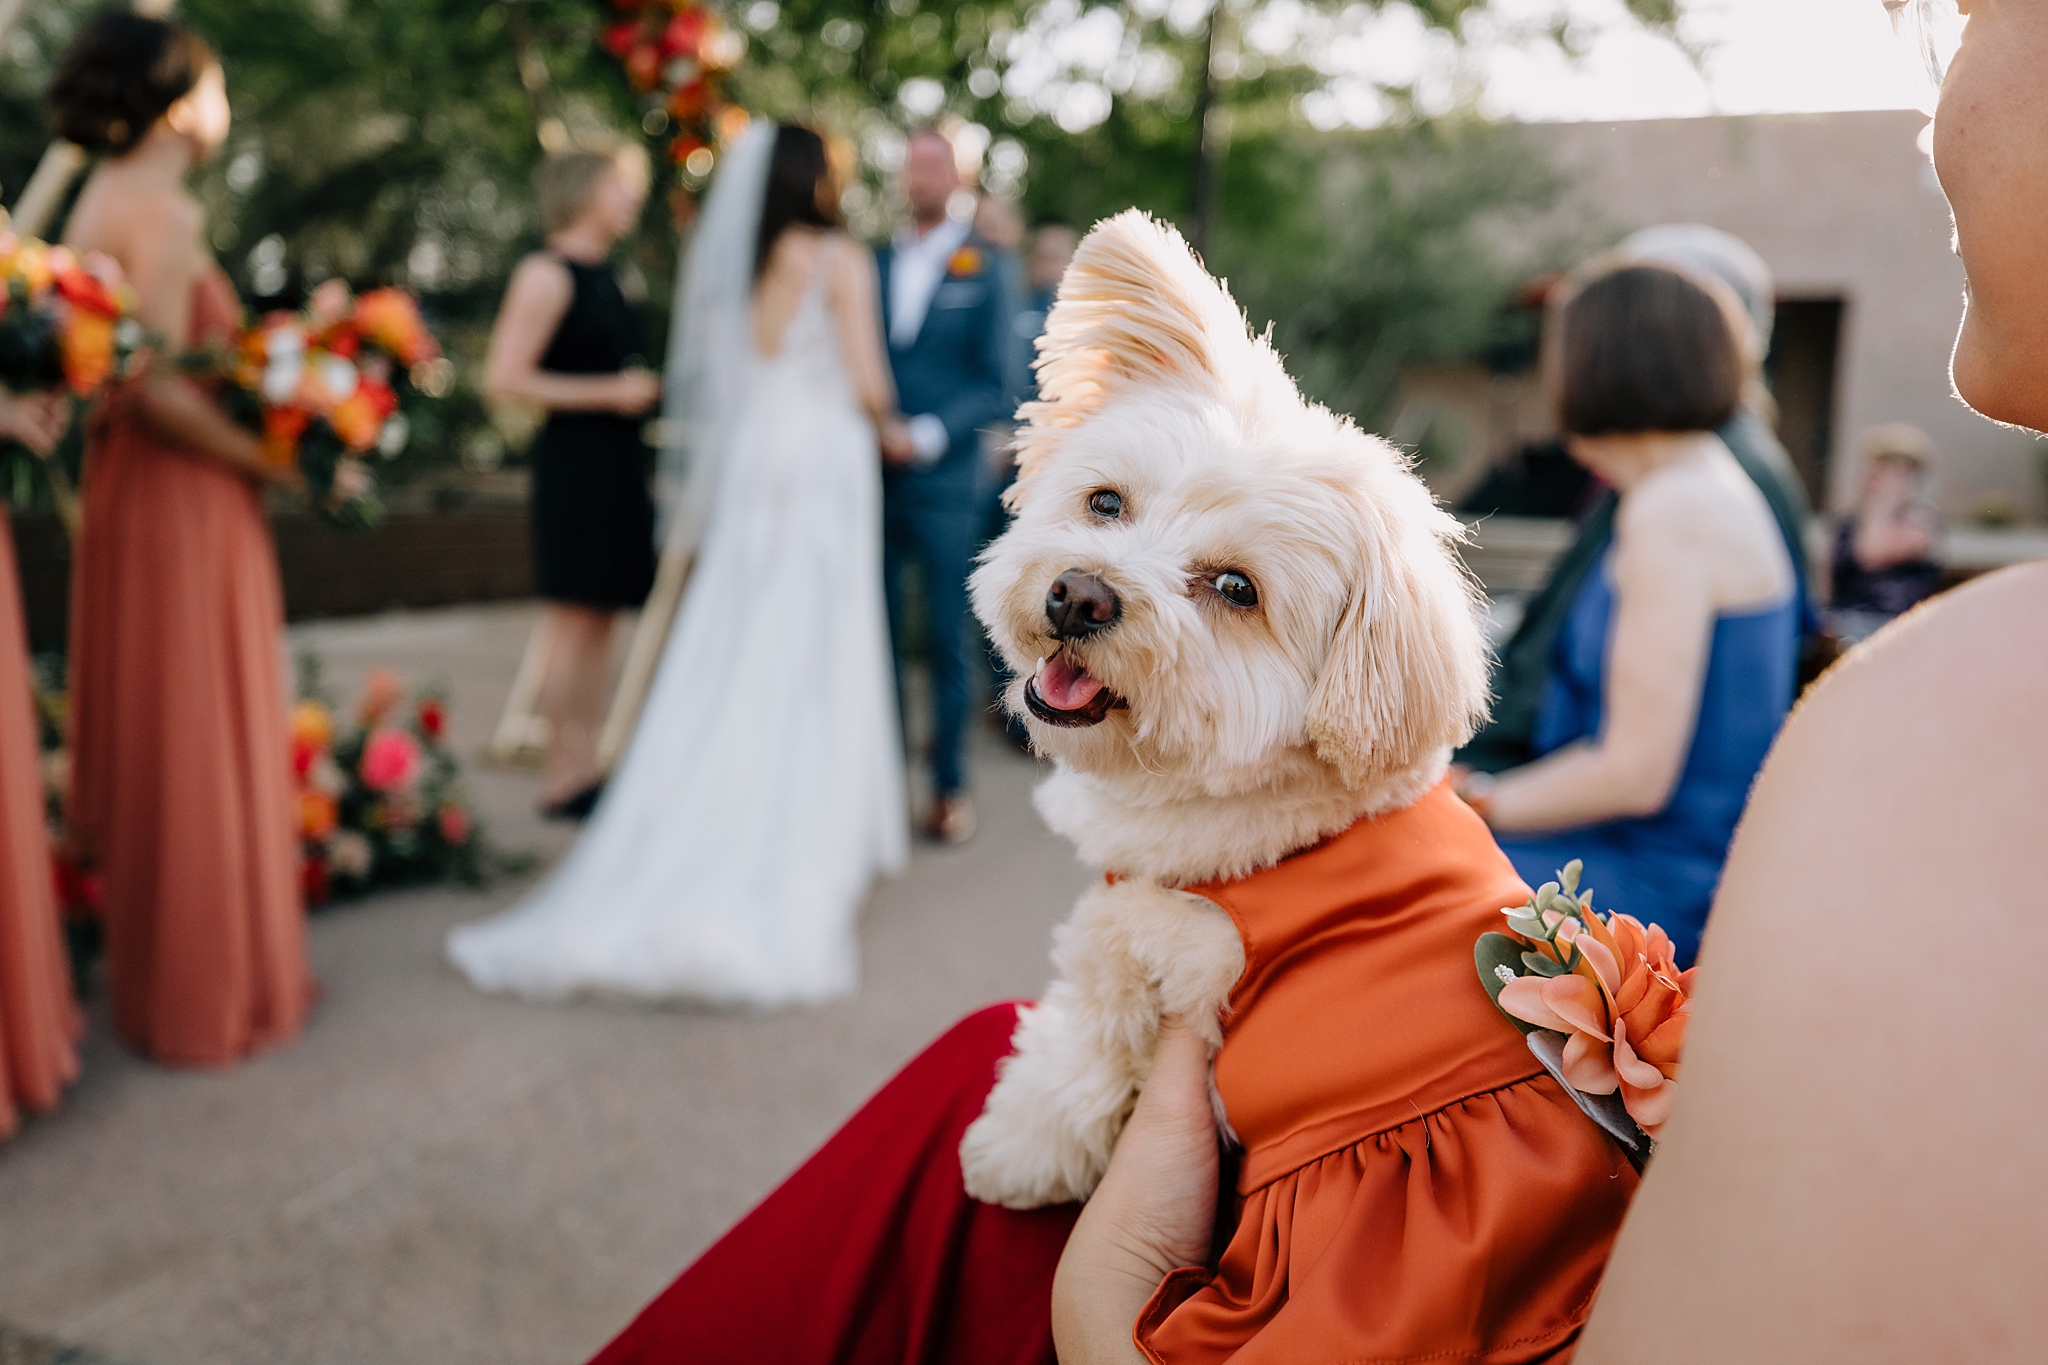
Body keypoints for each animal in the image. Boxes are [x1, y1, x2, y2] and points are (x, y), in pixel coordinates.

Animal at [958, 210, 1490, 1203]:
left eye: (1236, 587)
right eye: (1106, 503)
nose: (1078, 596)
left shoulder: (1165, 959)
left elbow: (1091, 1042)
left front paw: (1018, 1143)